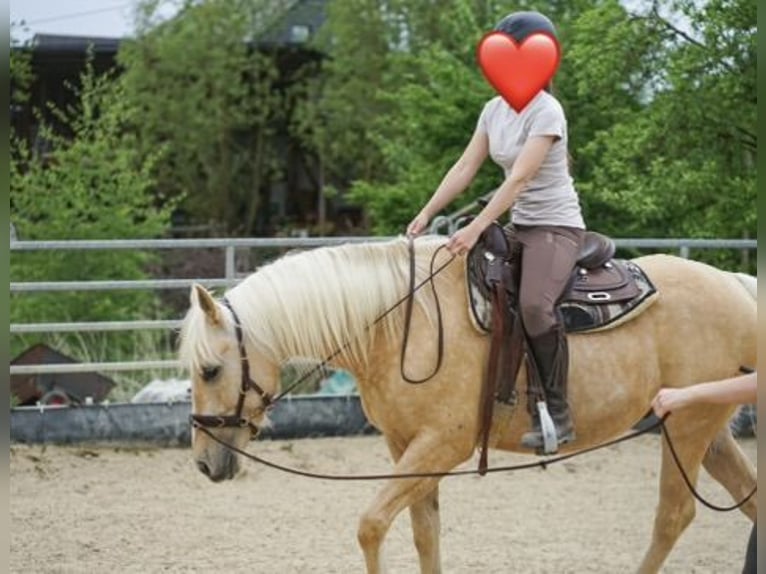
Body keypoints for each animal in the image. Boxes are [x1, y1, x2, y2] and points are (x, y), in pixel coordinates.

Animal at [178, 236, 757, 574]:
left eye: (209, 370)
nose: (203, 463)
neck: (397, 324)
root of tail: (736, 285)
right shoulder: (406, 449)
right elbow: (424, 533)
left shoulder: (443, 445)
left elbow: (372, 524)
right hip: (704, 429)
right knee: (751, 498)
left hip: (686, 428)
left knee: (673, 517)